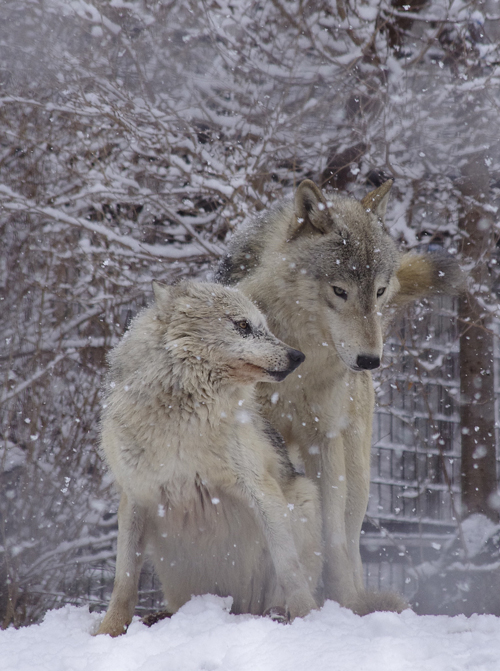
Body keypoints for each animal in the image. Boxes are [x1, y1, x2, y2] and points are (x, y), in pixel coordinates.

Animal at [97, 280, 322, 636]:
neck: (183, 419)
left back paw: (273, 615)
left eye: (265, 326)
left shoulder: (261, 490)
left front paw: (307, 620)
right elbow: (124, 581)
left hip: (303, 497)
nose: (298, 356)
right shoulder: (134, 497)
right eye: (243, 325)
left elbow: (289, 569)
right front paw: (108, 631)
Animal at [216, 178, 464, 616]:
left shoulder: (324, 439)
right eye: (339, 291)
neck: (302, 362)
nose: (369, 361)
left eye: (379, 291)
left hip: (359, 474)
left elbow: (331, 537)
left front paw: (342, 603)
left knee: (350, 538)